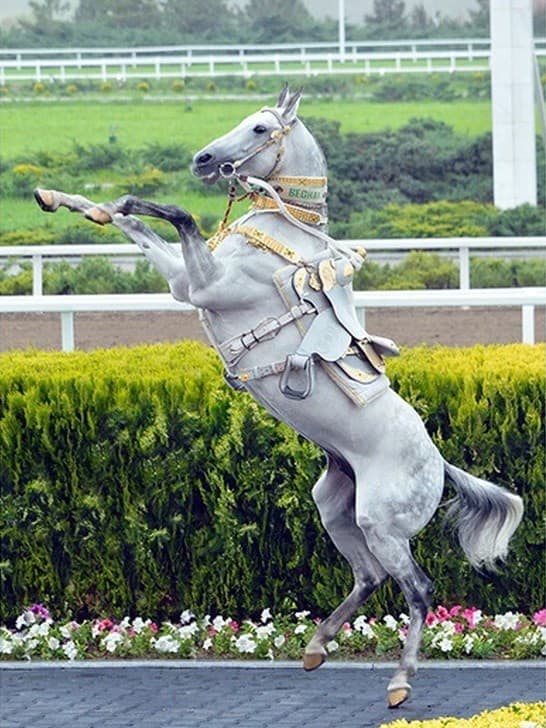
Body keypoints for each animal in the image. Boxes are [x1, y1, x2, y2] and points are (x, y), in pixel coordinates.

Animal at [34, 86, 523, 708]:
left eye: (261, 128)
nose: (202, 159)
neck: (280, 239)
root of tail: (439, 464)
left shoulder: (201, 284)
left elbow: (178, 216)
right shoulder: (185, 282)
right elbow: (132, 221)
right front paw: (66, 199)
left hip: (383, 524)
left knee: (417, 588)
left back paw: (399, 681)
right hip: (337, 508)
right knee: (369, 578)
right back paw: (316, 646)